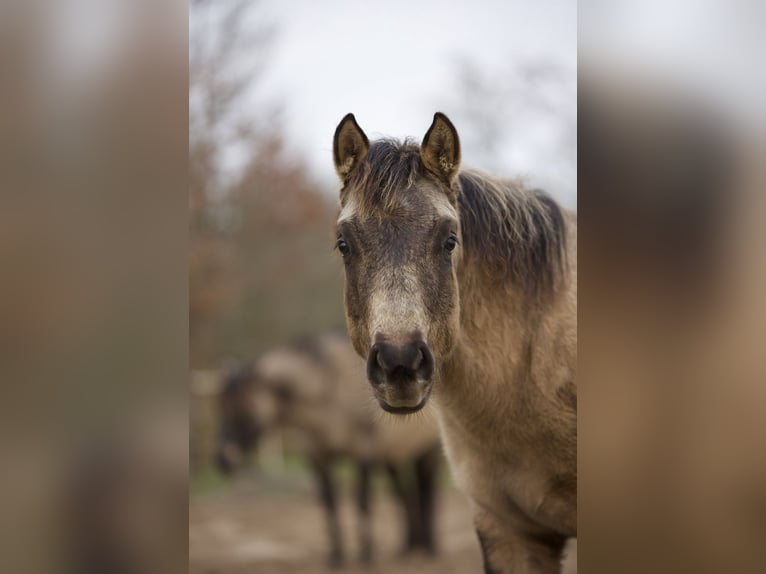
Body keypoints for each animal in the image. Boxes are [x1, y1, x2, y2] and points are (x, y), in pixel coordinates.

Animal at [216, 330, 444, 568]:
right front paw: (337, 556)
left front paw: (366, 555)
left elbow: (362, 503)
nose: (222, 459)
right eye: (219, 406)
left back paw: (430, 547)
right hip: (392, 456)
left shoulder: (363, 455)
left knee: (427, 490)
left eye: (240, 406)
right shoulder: (319, 459)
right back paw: (409, 545)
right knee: (402, 493)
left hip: (428, 452)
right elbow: (330, 506)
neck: (330, 390)